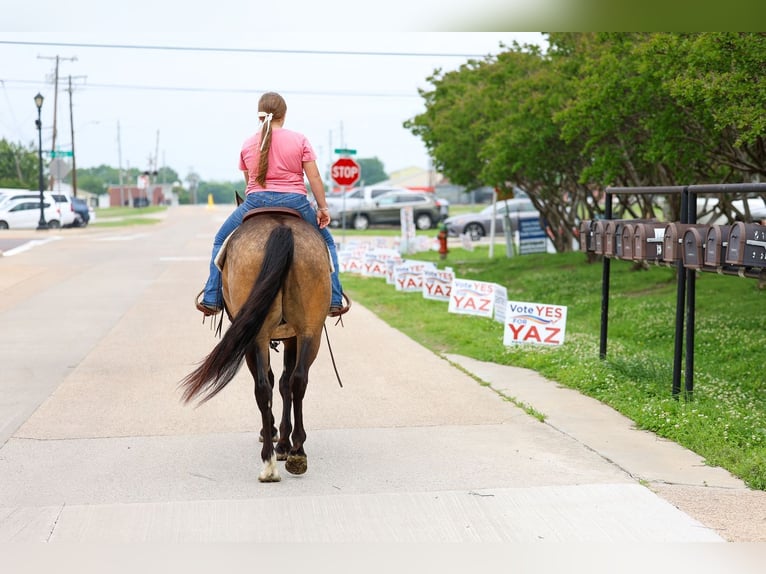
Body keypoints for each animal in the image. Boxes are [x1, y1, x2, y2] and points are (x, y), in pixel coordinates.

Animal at [180, 207, 332, 482]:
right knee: (298, 380)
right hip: (310, 331)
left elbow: (274, 382)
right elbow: (285, 383)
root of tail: (281, 228)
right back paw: (297, 453)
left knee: (263, 387)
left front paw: (275, 438)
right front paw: (283, 444)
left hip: (256, 337)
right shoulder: (292, 337)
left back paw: (270, 462)